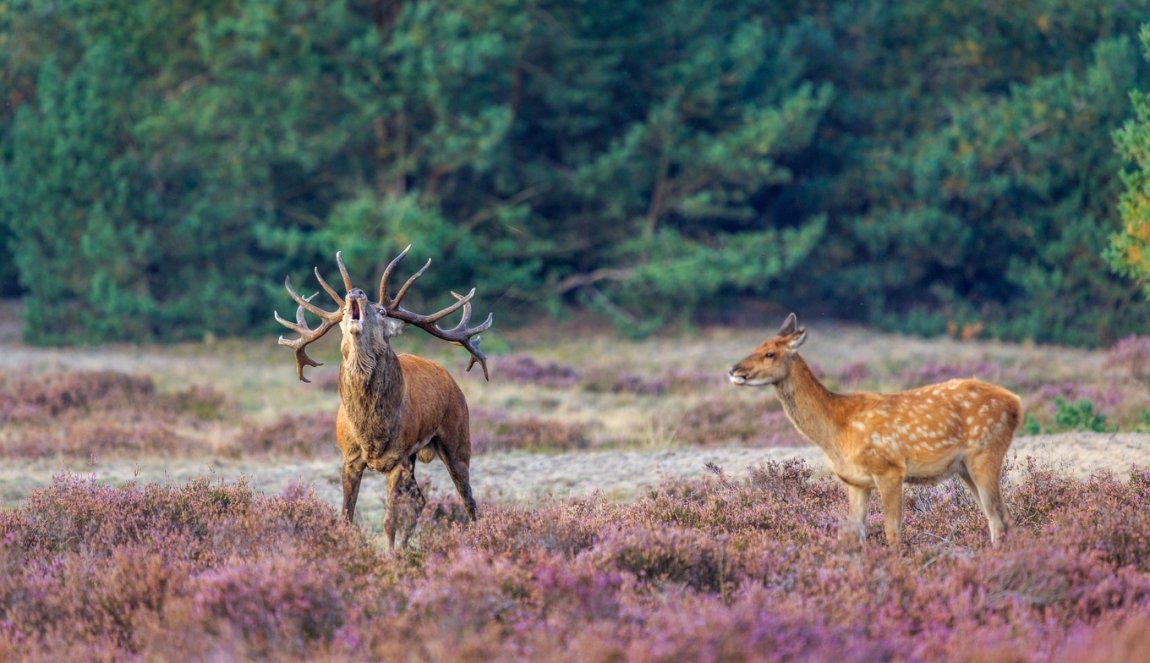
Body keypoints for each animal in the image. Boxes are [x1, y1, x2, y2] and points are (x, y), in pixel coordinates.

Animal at [279, 247, 494, 546]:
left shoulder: (397, 458)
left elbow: (389, 521)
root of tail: (449, 378)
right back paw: (406, 547)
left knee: (468, 500)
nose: (355, 292)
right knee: (420, 499)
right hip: (415, 457)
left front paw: (390, 554)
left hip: (457, 437)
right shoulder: (350, 458)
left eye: (381, 310)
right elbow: (346, 517)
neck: (371, 432)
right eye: (343, 310)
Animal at [731, 312, 1021, 544]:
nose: (734, 370)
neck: (836, 430)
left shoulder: (889, 469)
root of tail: (1015, 403)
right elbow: (855, 532)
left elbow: (892, 531)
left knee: (999, 518)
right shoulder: (855, 482)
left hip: (986, 451)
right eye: (757, 345)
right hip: (964, 467)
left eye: (770, 353)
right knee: (1000, 517)